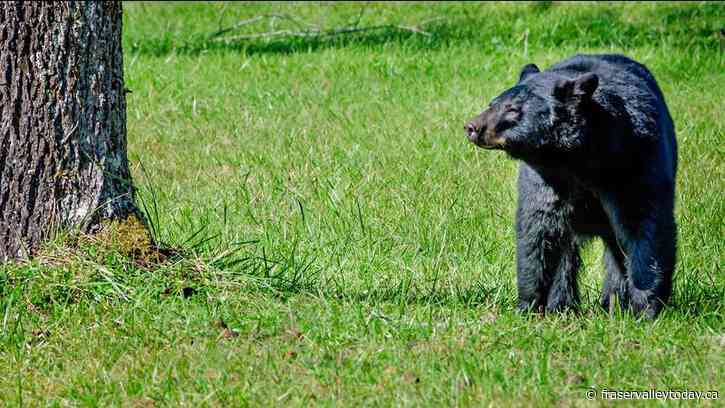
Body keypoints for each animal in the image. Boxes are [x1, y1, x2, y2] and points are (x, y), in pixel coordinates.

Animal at [464, 54, 677, 319]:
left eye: (512, 109)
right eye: (492, 103)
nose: (472, 127)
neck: (577, 158)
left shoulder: (635, 161)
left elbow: (645, 226)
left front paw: (645, 309)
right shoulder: (546, 180)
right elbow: (537, 233)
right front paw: (529, 306)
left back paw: (613, 303)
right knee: (566, 253)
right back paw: (563, 304)